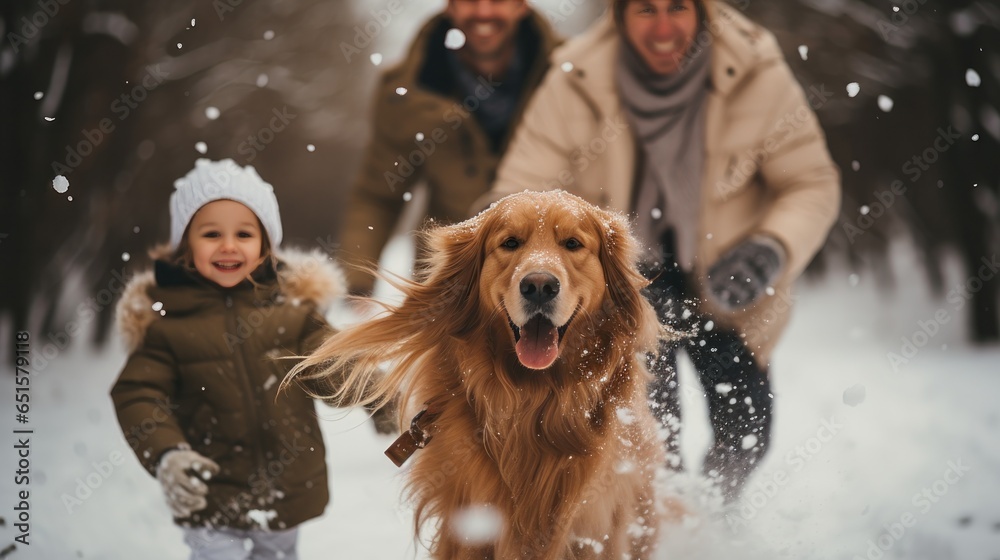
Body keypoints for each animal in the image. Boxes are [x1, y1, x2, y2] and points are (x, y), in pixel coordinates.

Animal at [290, 191, 664, 556]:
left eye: (572, 243)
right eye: (510, 243)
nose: (539, 285)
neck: (533, 399)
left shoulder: (593, 526)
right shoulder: (468, 520)